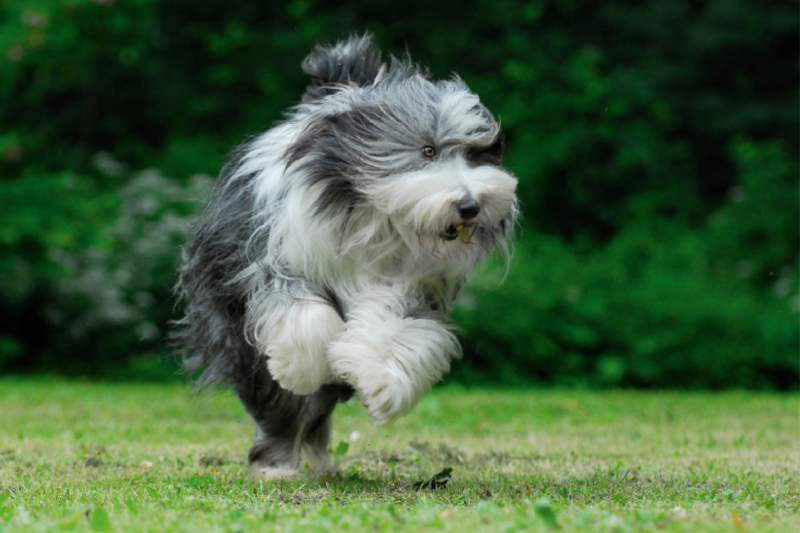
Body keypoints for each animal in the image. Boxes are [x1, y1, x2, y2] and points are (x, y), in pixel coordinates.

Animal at [173, 35, 520, 480]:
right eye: (427, 150)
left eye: (479, 155)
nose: (471, 206)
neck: (375, 216)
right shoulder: (269, 261)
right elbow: (305, 317)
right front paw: (302, 366)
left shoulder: (412, 288)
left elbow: (396, 331)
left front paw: (382, 384)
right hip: (236, 334)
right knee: (276, 405)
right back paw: (278, 464)